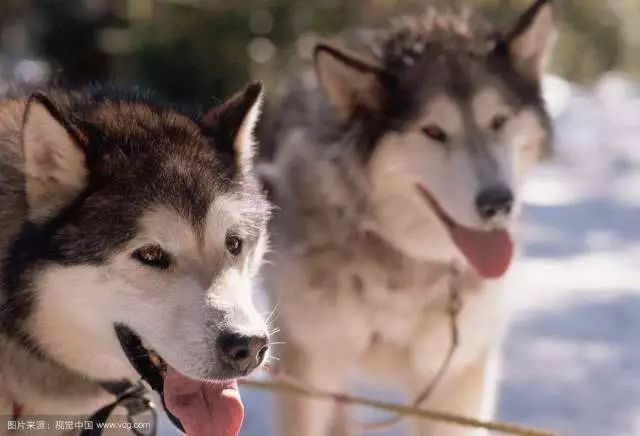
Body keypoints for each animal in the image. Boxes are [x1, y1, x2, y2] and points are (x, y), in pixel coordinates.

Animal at [262, 1, 556, 434]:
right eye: (433, 131)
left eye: (499, 121)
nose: (498, 202)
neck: (403, 263)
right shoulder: (309, 367)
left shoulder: (456, 379)